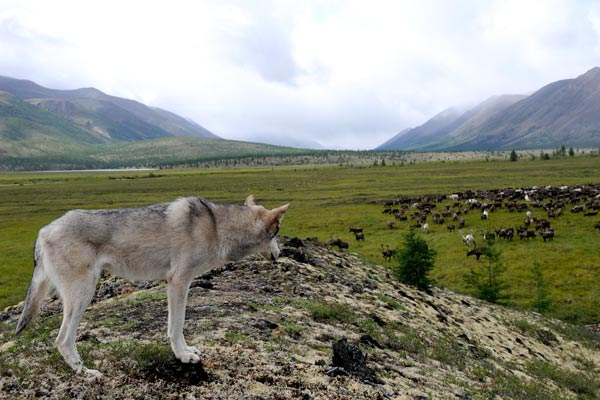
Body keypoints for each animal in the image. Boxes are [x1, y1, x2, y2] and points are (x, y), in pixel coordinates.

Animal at [15, 195, 288, 376]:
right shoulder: (178, 282)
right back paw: (86, 373)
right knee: (62, 340)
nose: (280, 254)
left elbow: (176, 327)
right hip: (83, 295)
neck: (217, 226)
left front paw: (187, 350)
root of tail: (43, 232)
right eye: (277, 233)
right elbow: (177, 326)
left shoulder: (178, 284)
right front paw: (183, 356)